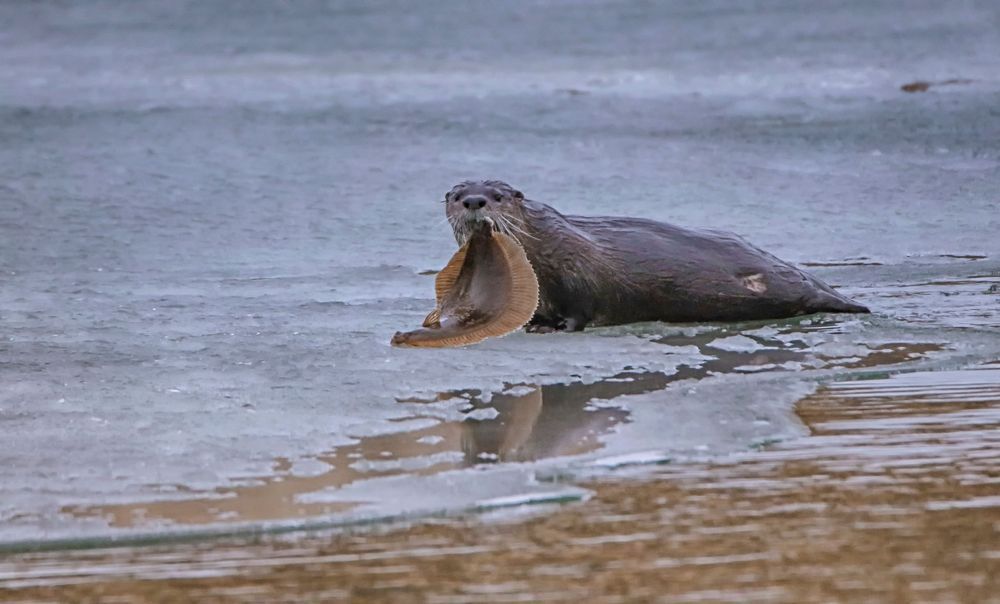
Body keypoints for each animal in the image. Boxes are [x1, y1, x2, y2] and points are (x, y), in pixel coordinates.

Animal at [443, 180, 869, 332]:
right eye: (457, 193)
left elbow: (580, 310)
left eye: (498, 195)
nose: (474, 200)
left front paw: (549, 328)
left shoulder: (577, 273)